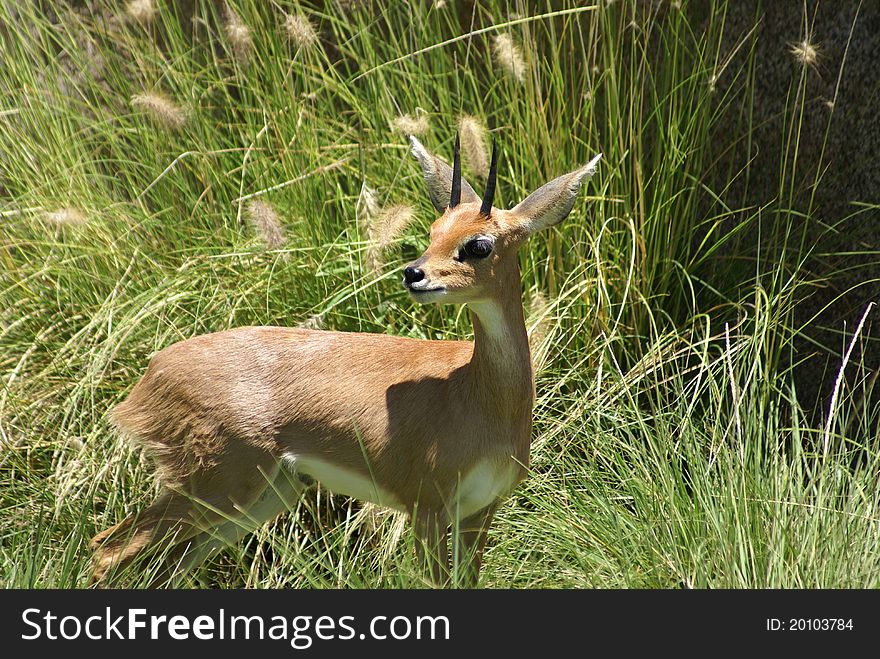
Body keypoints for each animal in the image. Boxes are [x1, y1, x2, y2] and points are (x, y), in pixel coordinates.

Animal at [93, 134, 600, 588]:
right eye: (433, 232)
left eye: (478, 244)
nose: (414, 273)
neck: (475, 394)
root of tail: (150, 375)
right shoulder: (427, 505)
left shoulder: (479, 510)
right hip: (216, 480)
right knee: (107, 549)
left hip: (263, 493)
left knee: (172, 564)